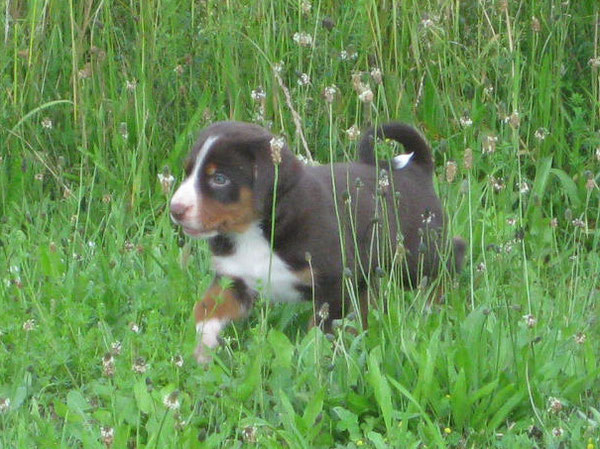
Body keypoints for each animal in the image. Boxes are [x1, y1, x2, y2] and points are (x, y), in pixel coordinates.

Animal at [171, 121, 466, 362]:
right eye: (188, 172)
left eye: (219, 179)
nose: (175, 209)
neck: (256, 233)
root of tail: (416, 169)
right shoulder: (234, 279)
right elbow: (206, 310)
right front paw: (203, 348)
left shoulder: (333, 284)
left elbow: (322, 330)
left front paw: (318, 361)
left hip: (415, 255)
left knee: (450, 259)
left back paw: (437, 305)